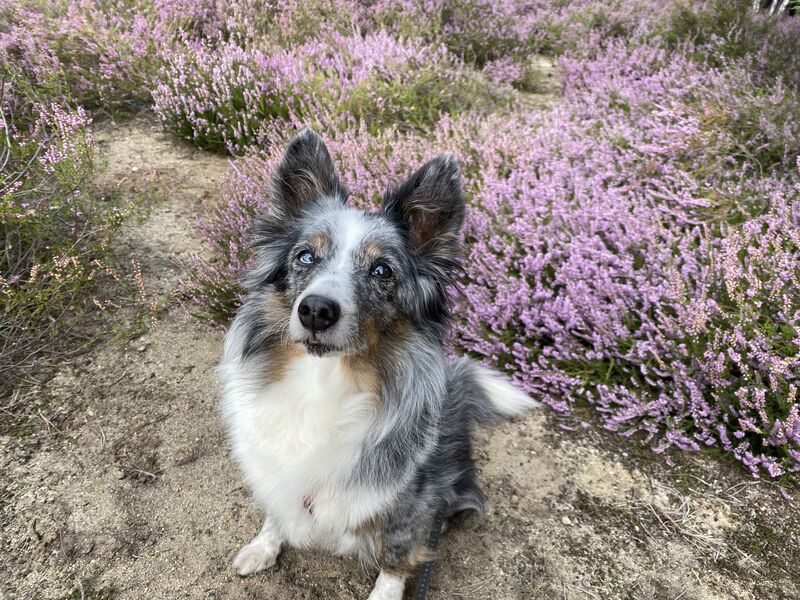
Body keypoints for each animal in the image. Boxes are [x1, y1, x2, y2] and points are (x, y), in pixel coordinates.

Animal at [219, 129, 538, 599]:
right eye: (305, 257)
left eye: (382, 270)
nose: (315, 311)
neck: (324, 381)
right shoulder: (276, 464)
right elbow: (278, 508)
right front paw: (264, 546)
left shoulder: (412, 500)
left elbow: (395, 555)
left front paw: (385, 592)